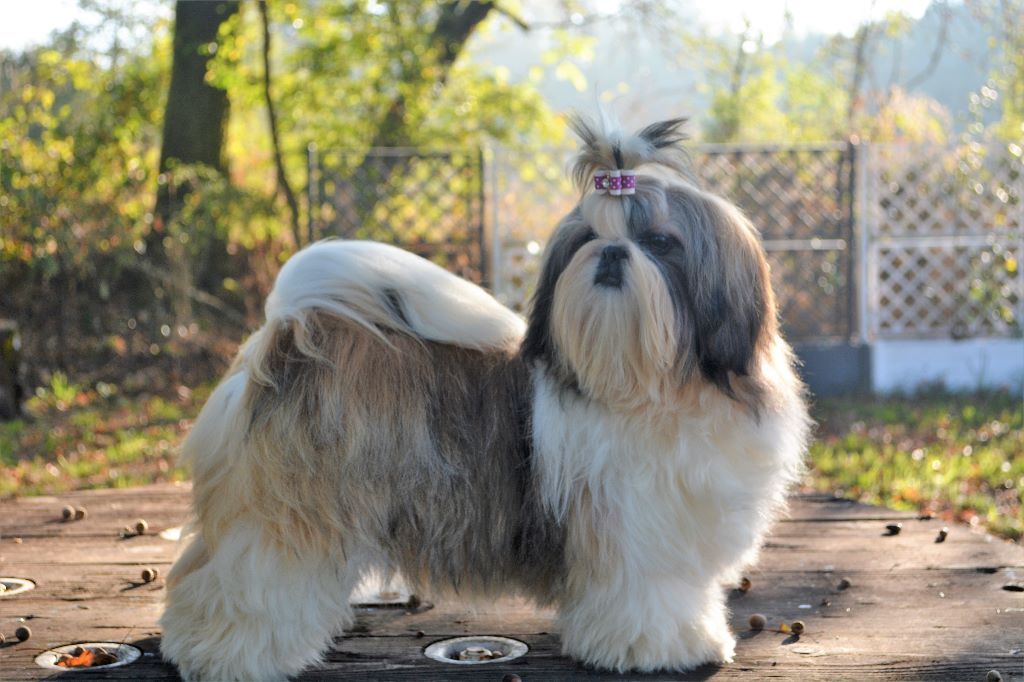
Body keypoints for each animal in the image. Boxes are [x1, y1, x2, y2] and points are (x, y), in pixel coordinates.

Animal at [161, 114, 806, 675]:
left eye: (660, 241)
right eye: (587, 237)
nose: (611, 252)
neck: (646, 387)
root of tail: (289, 331)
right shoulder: (635, 536)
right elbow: (648, 595)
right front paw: (657, 648)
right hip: (291, 510)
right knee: (251, 578)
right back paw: (228, 656)